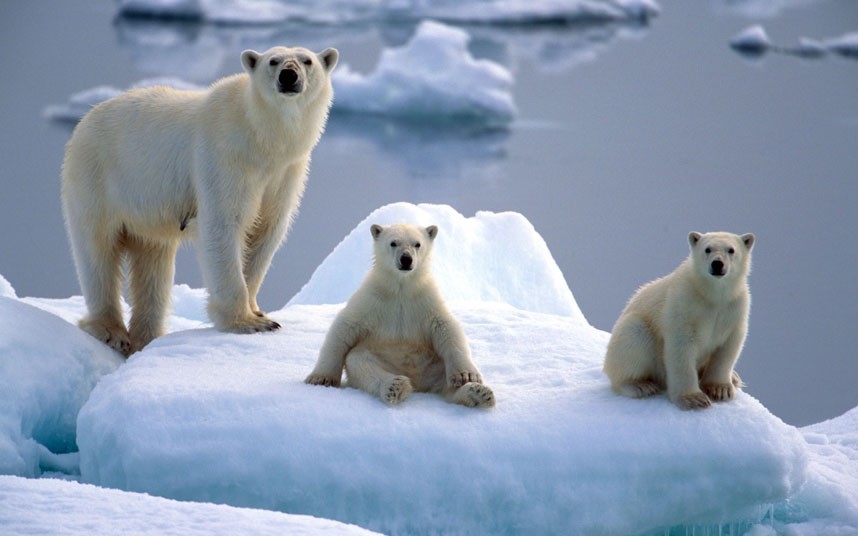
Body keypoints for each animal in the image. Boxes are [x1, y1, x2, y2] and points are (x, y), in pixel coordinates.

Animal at [61, 46, 338, 356]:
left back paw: (147, 336)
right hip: (97, 177)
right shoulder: (224, 157)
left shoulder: (286, 172)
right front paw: (248, 323)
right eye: (273, 61)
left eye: (307, 60)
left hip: (145, 211)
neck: (261, 139)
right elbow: (223, 224)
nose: (288, 76)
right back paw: (112, 332)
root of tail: (84, 120)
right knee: (98, 251)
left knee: (153, 263)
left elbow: (266, 231)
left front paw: (258, 311)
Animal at [306, 224, 494, 408]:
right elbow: (345, 326)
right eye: (393, 243)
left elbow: (446, 327)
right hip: (381, 357)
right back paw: (395, 386)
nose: (406, 259)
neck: (401, 288)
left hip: (433, 362)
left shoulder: (426, 298)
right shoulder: (372, 297)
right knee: (360, 362)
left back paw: (479, 393)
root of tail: (418, 382)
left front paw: (467, 376)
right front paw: (320, 378)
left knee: (446, 379)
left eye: (417, 244)